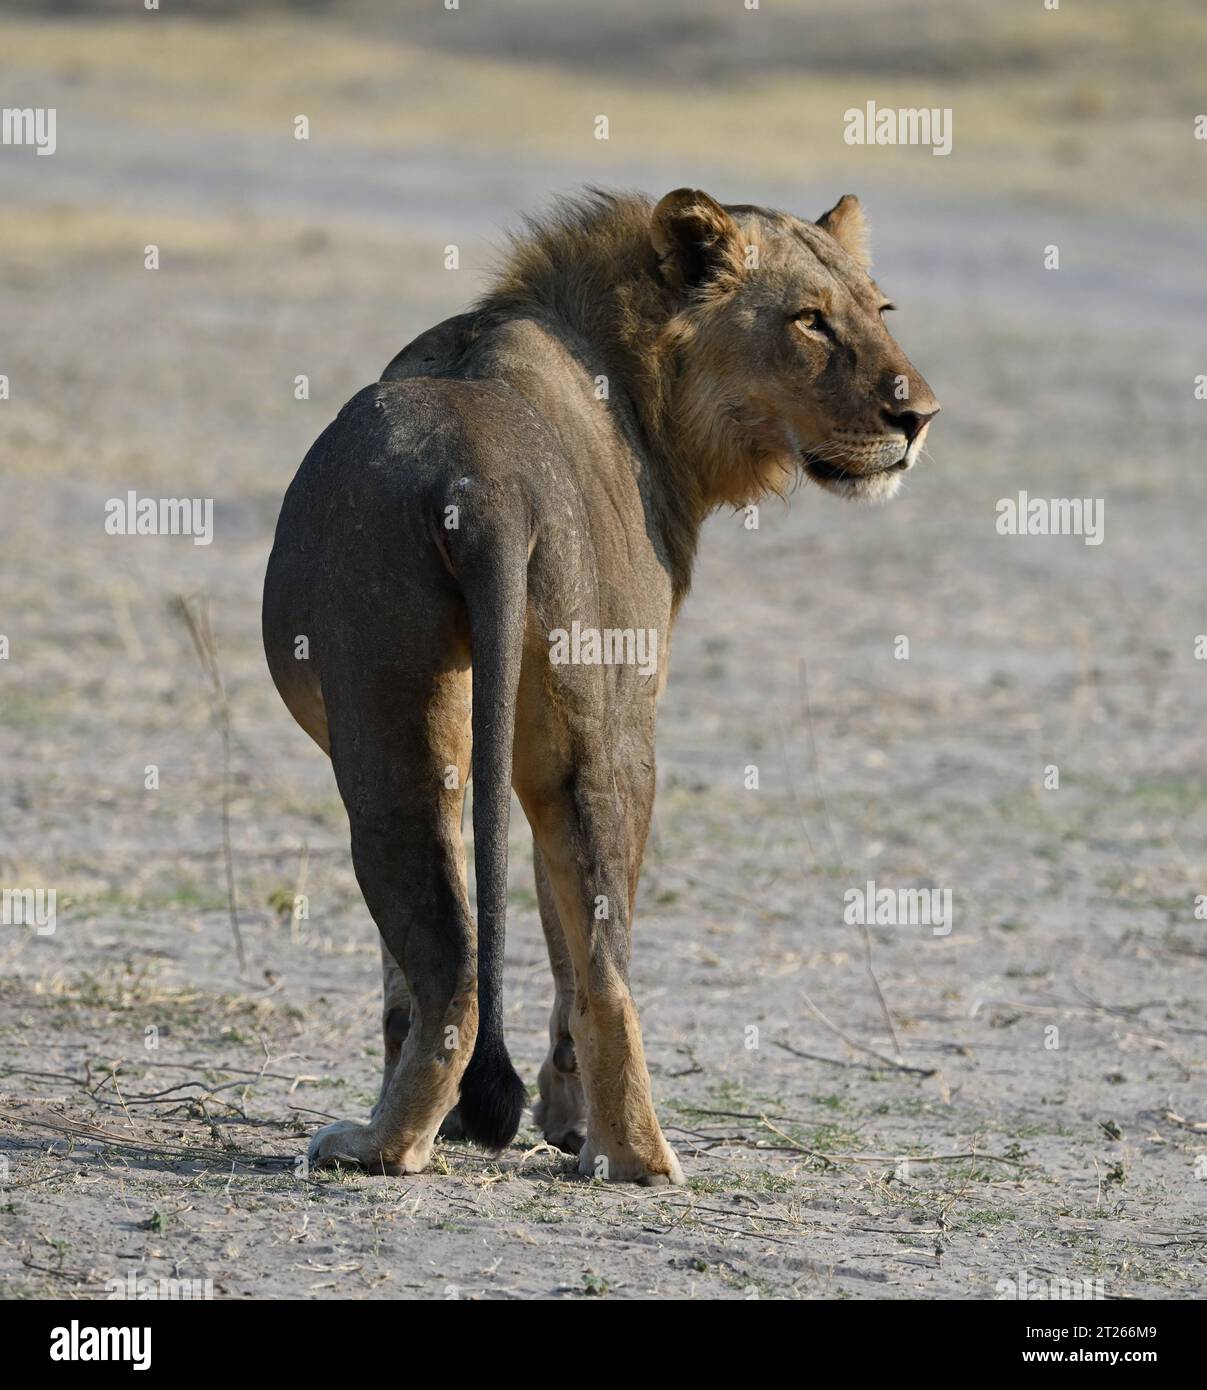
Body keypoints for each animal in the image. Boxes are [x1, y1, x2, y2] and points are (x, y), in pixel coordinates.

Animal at [262, 188, 939, 1184]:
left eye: (879, 311)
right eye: (810, 321)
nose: (918, 417)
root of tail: (485, 483)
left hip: (416, 737)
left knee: (474, 967)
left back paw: (397, 1142)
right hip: (583, 731)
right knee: (575, 964)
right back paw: (619, 1156)